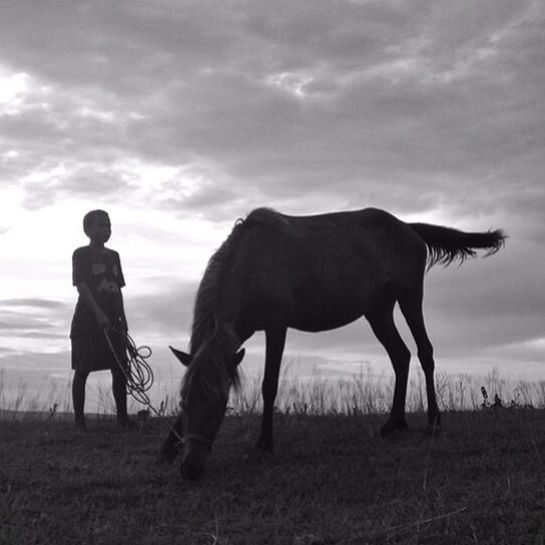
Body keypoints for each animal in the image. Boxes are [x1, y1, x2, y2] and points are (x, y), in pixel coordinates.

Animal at [158, 206, 506, 478]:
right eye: (184, 402)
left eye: (220, 403)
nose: (191, 468)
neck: (253, 261)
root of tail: (408, 228)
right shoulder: (237, 332)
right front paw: (167, 448)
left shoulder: (276, 327)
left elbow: (269, 385)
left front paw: (264, 444)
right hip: (378, 310)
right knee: (401, 356)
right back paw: (393, 424)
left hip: (409, 297)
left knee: (424, 353)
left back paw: (433, 422)